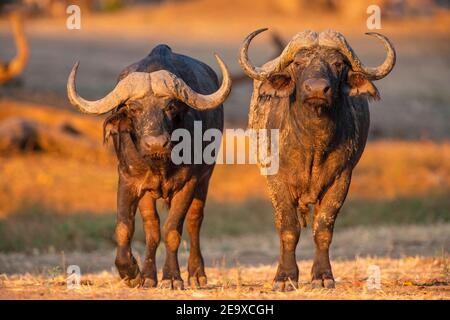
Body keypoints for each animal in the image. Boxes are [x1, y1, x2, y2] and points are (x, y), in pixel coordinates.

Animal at [68, 44, 234, 288]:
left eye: (170, 106)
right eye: (134, 108)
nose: (156, 143)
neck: (159, 163)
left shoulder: (190, 182)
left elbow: (172, 230)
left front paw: (172, 277)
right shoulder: (129, 181)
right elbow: (125, 228)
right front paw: (132, 273)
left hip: (205, 178)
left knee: (194, 222)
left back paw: (197, 274)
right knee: (151, 228)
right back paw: (148, 275)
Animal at [237, 29, 396, 290]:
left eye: (338, 63)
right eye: (298, 63)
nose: (317, 89)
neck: (313, 142)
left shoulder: (341, 179)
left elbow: (323, 228)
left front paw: (322, 276)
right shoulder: (276, 181)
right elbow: (288, 228)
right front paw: (285, 278)